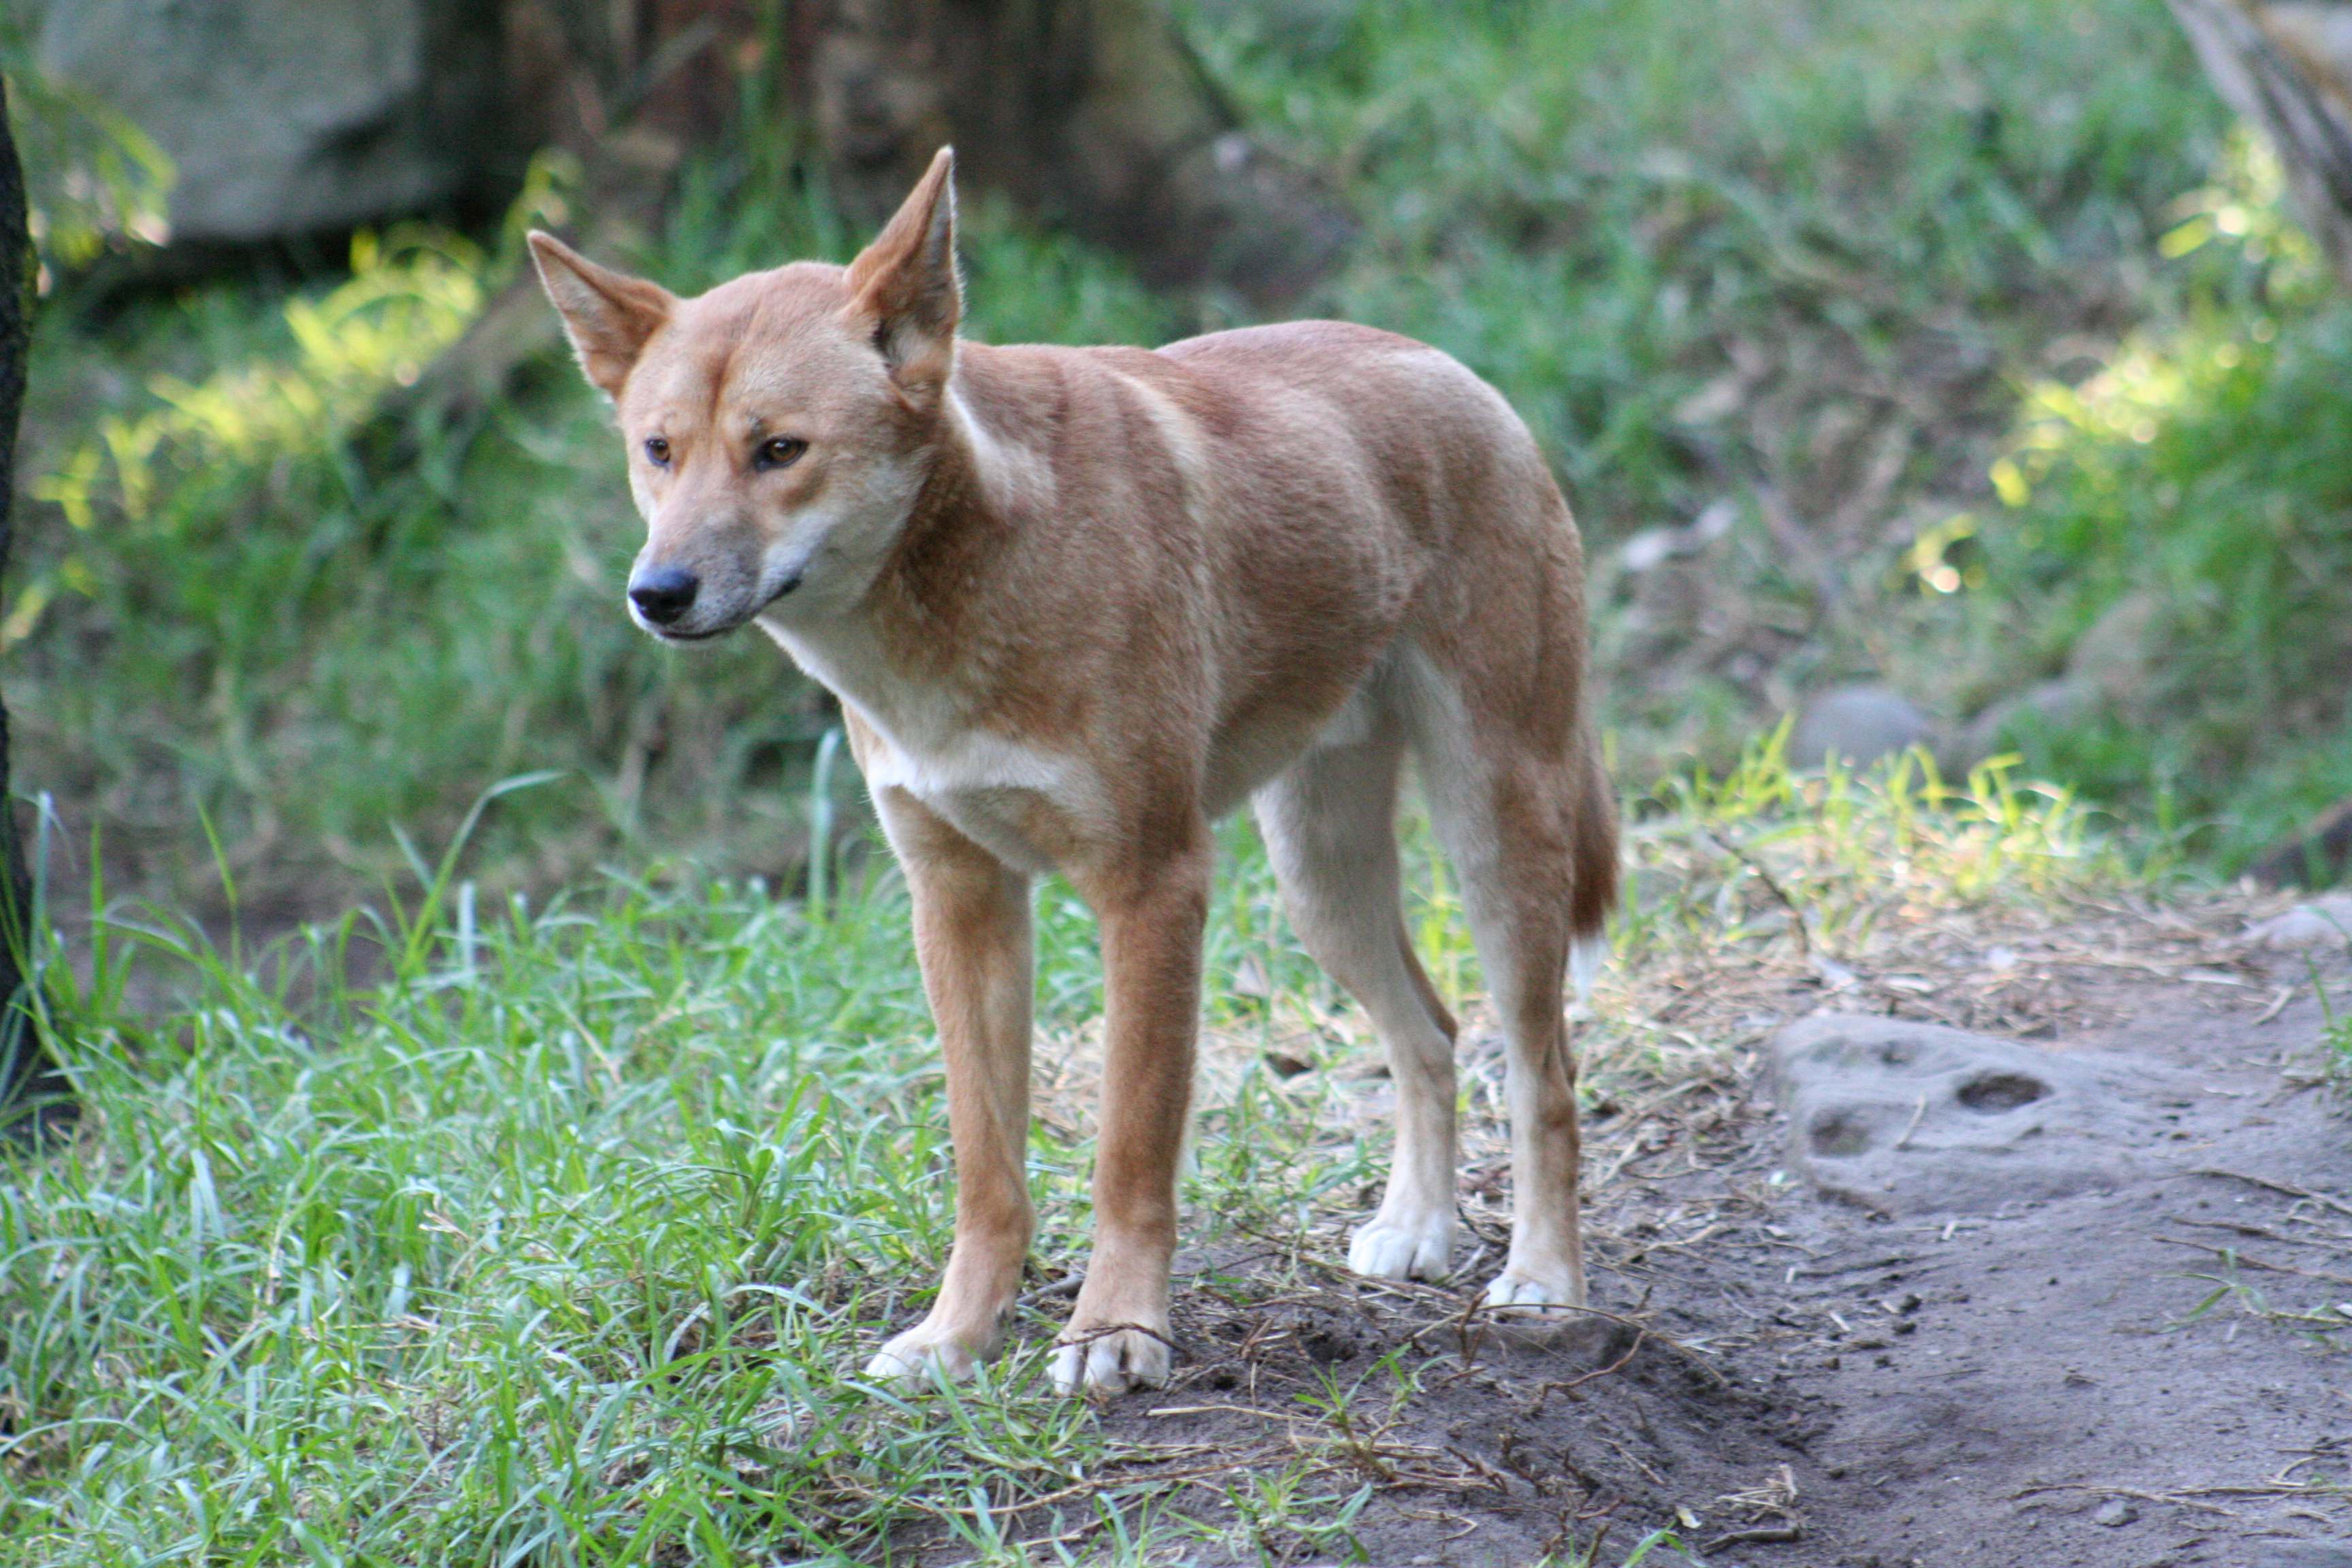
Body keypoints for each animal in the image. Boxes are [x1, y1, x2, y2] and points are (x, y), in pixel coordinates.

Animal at [532, 150, 1618, 1401]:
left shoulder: (1151, 885)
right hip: (1321, 874)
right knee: (1428, 1036)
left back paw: (1544, 1278)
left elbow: (1127, 1154)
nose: (656, 593)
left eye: (780, 450)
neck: (963, 602)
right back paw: (1420, 1229)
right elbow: (986, 1171)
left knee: (1542, 1072)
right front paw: (957, 1336)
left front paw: (1116, 1332)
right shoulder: (959, 901)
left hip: (1494, 830)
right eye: (659, 450)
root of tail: (1459, 370)